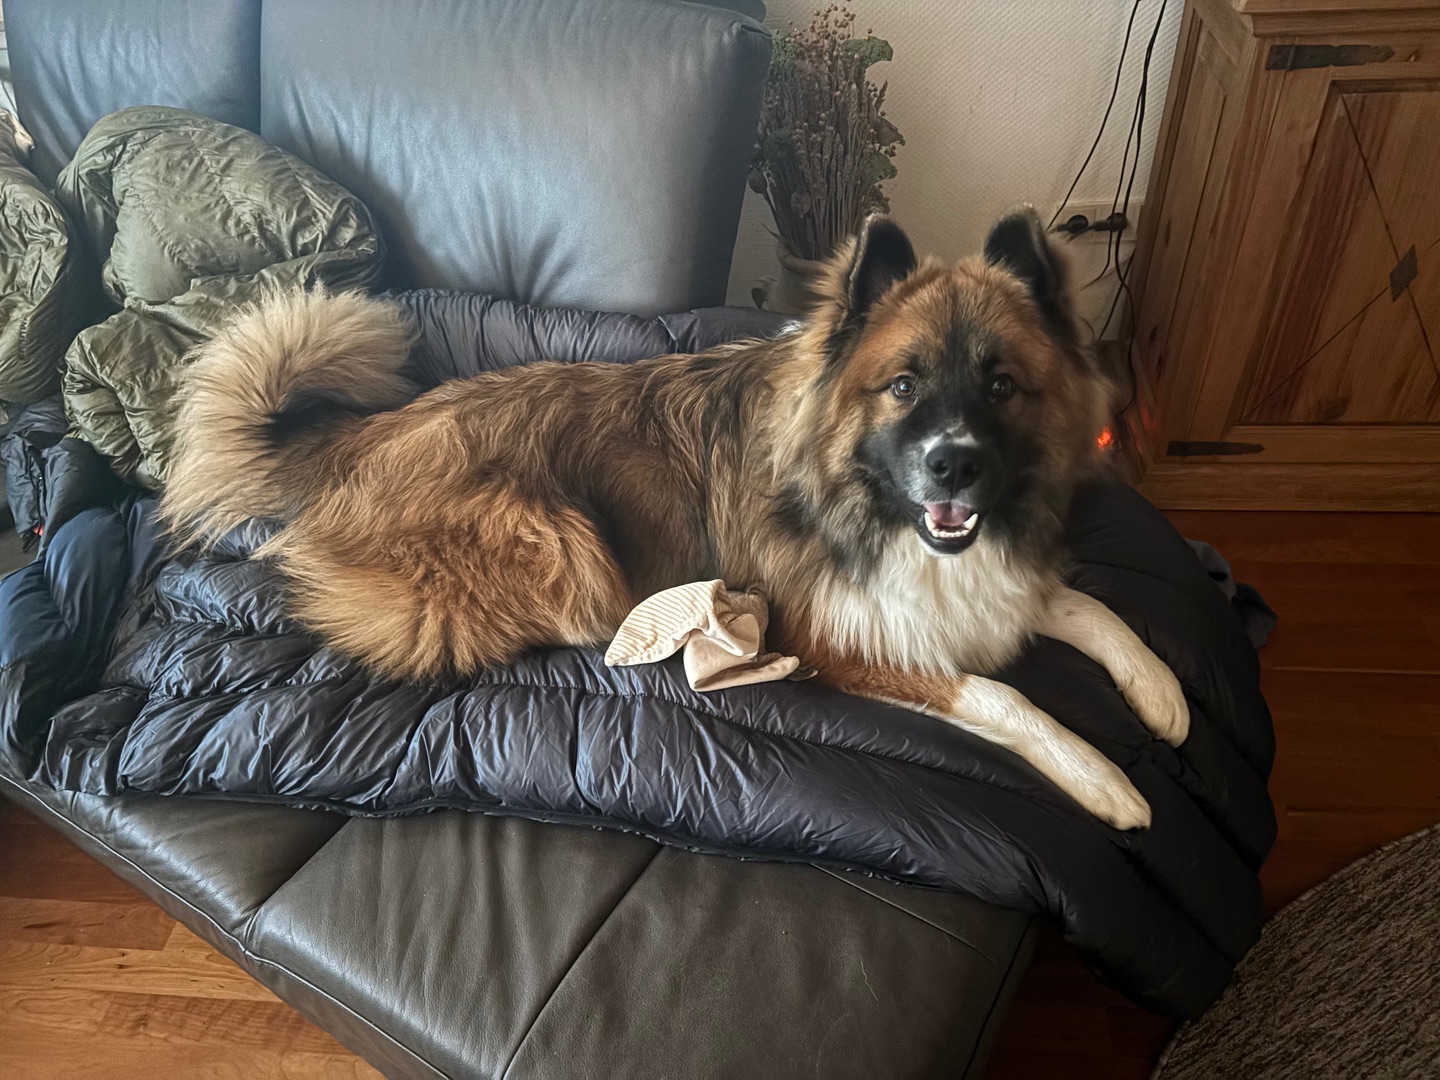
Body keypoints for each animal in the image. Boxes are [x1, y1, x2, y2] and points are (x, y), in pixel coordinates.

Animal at [161, 209, 1187, 829]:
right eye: (903, 386)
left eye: (1002, 385)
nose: (955, 466)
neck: (873, 511)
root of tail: (365, 435)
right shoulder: (844, 639)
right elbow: (1005, 697)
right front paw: (1106, 779)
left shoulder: (993, 578)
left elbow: (1093, 609)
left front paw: (1163, 692)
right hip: (556, 535)